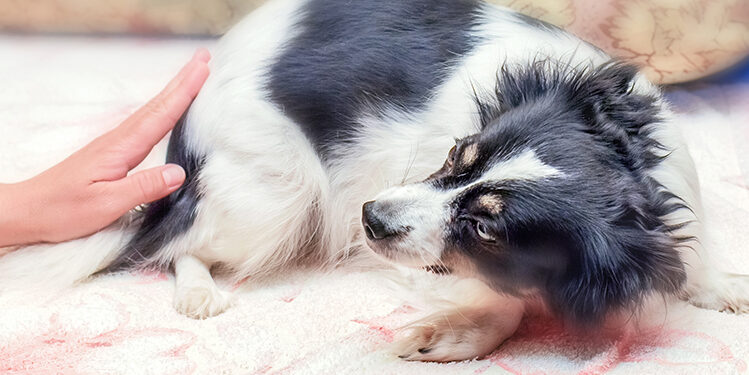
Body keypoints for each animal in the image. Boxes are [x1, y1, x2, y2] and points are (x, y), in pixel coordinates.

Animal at [1, 0, 748, 364]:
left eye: (486, 226)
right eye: (455, 154)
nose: (368, 216)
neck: (640, 172)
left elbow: (695, 257)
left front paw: (719, 283)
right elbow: (497, 299)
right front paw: (453, 334)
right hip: (274, 196)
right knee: (176, 245)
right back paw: (198, 289)